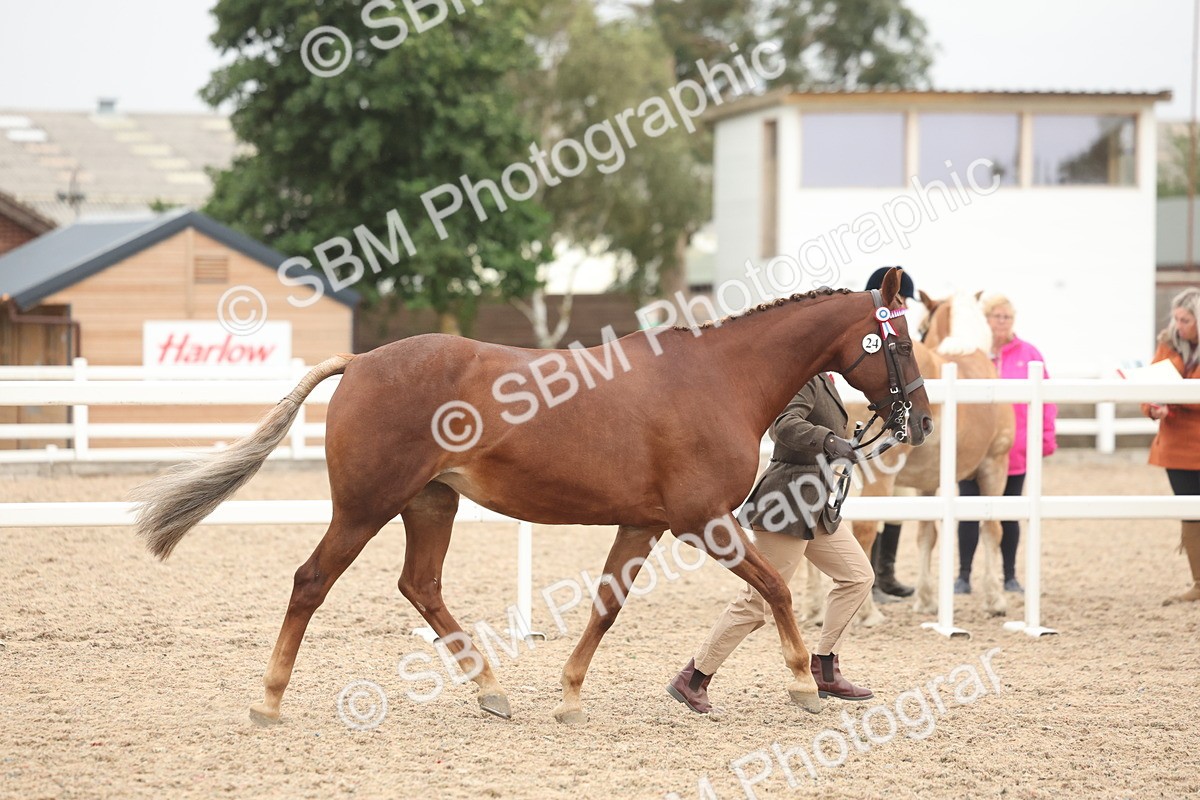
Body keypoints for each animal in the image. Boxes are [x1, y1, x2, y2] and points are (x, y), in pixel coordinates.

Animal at [129, 268, 933, 726]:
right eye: (901, 342)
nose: (920, 422)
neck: (719, 379)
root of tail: (359, 362)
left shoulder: (641, 525)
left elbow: (606, 608)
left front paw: (570, 695)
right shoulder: (701, 523)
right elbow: (775, 590)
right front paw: (802, 686)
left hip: (430, 504)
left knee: (420, 586)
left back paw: (492, 691)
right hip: (364, 508)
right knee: (311, 582)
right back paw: (268, 700)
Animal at [804, 290, 1013, 624]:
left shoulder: (928, 483)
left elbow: (927, 535)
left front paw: (926, 599)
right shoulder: (994, 466)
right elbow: (992, 530)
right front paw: (995, 599)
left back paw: (813, 607)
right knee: (864, 531)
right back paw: (866, 612)